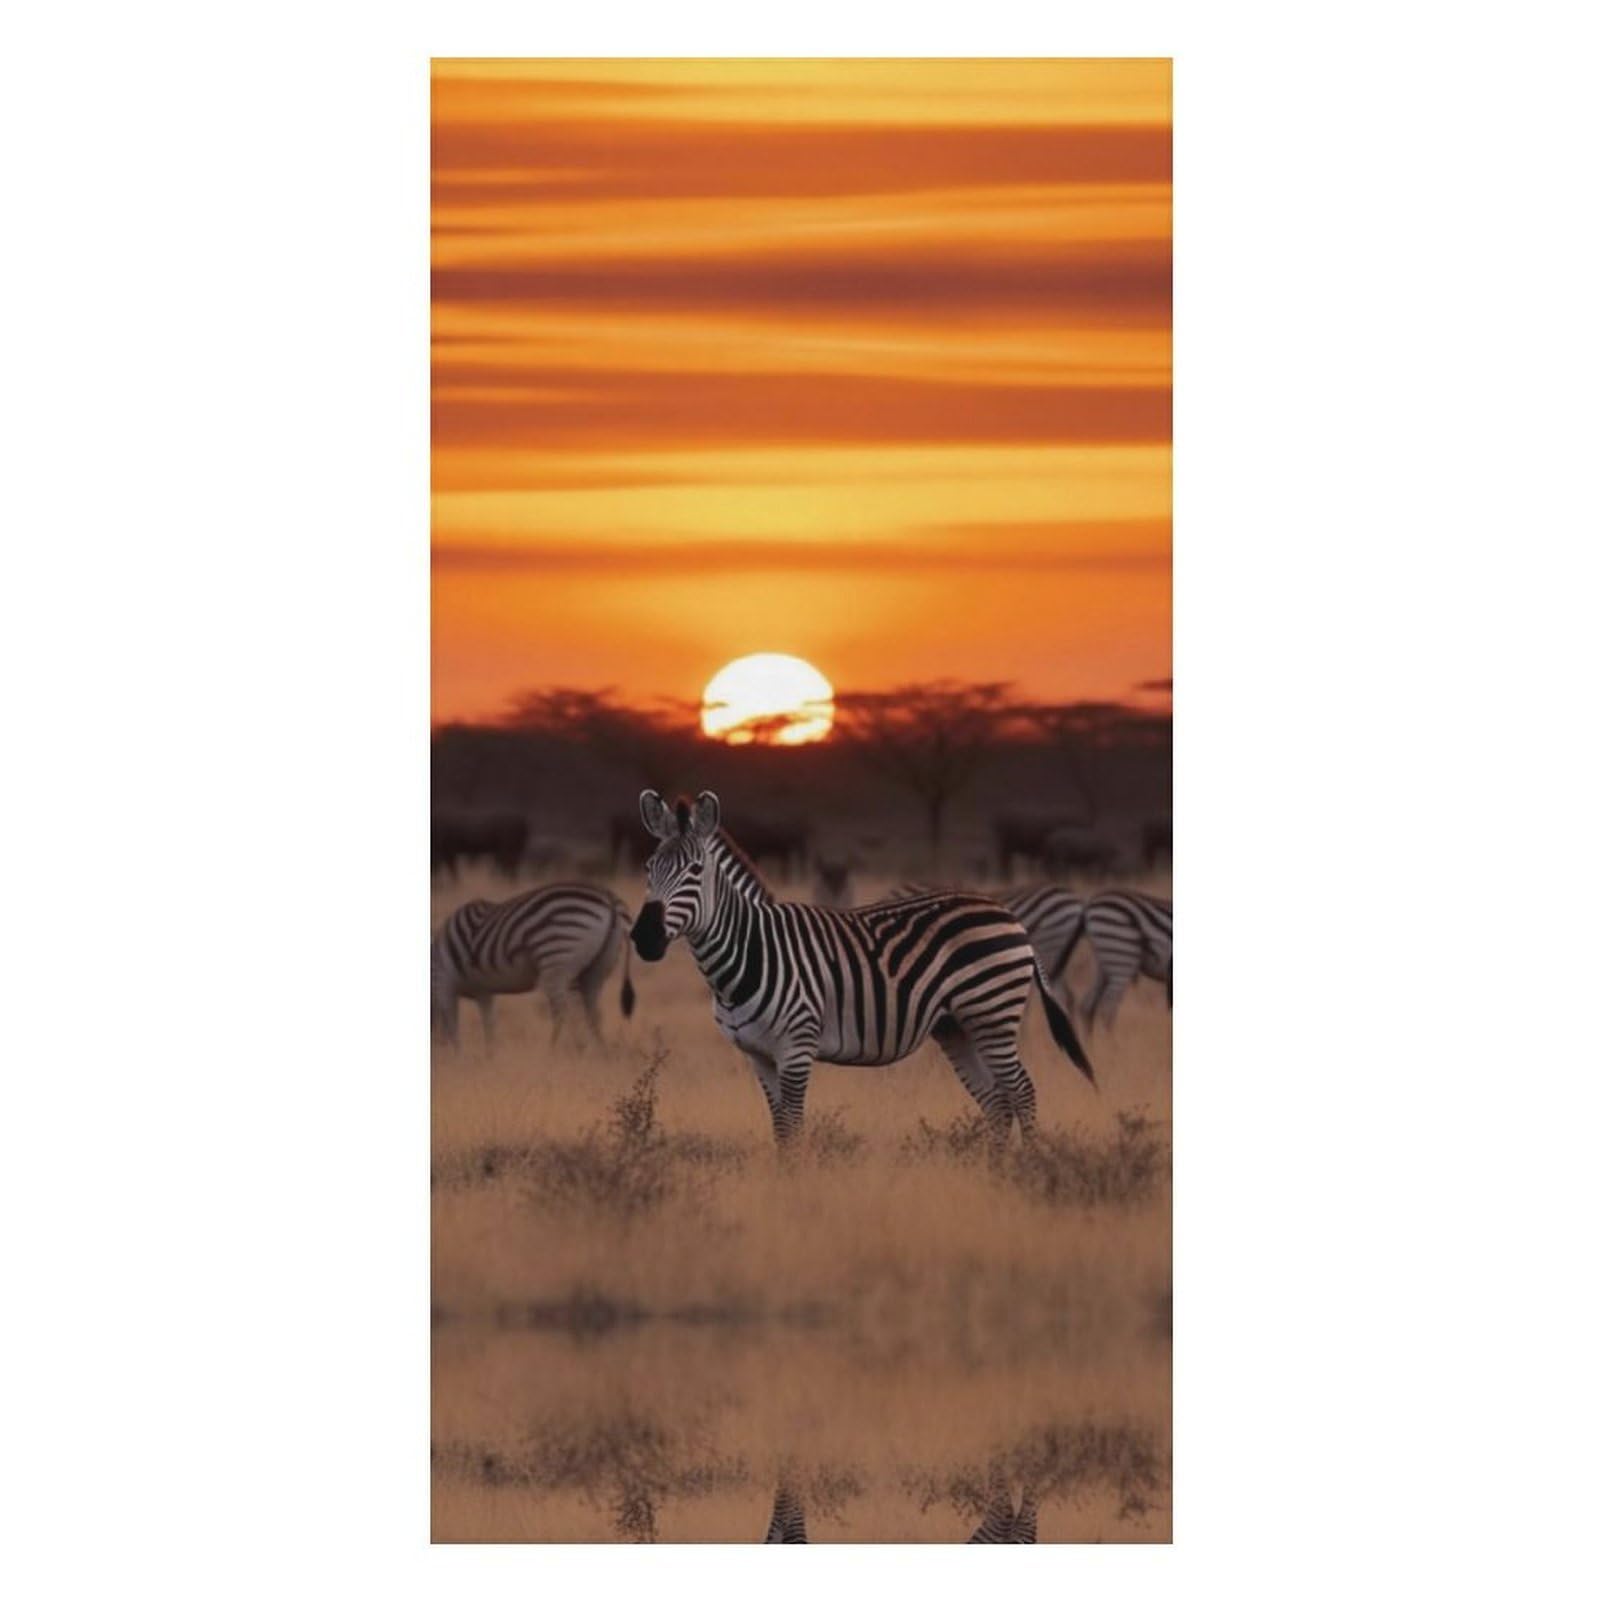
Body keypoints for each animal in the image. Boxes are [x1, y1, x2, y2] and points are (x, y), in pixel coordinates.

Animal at [430, 882, 636, 1052]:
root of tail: (609, 898)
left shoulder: (444, 983)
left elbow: (451, 1027)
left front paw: (458, 1060)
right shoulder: (482, 990)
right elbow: (488, 1024)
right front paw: (490, 1057)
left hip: (556, 963)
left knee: (566, 1012)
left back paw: (562, 1052)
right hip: (597, 969)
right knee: (593, 1013)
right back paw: (600, 1054)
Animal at [630, 790, 1094, 1150]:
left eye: (695, 871)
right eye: (649, 869)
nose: (644, 938)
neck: (751, 952)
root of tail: (1007, 913)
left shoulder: (796, 1049)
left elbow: (794, 1129)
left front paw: (794, 1191)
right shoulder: (758, 1056)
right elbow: (779, 1129)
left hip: (992, 1013)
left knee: (1022, 1092)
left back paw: (1028, 1169)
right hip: (958, 1027)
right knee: (998, 1102)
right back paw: (993, 1174)